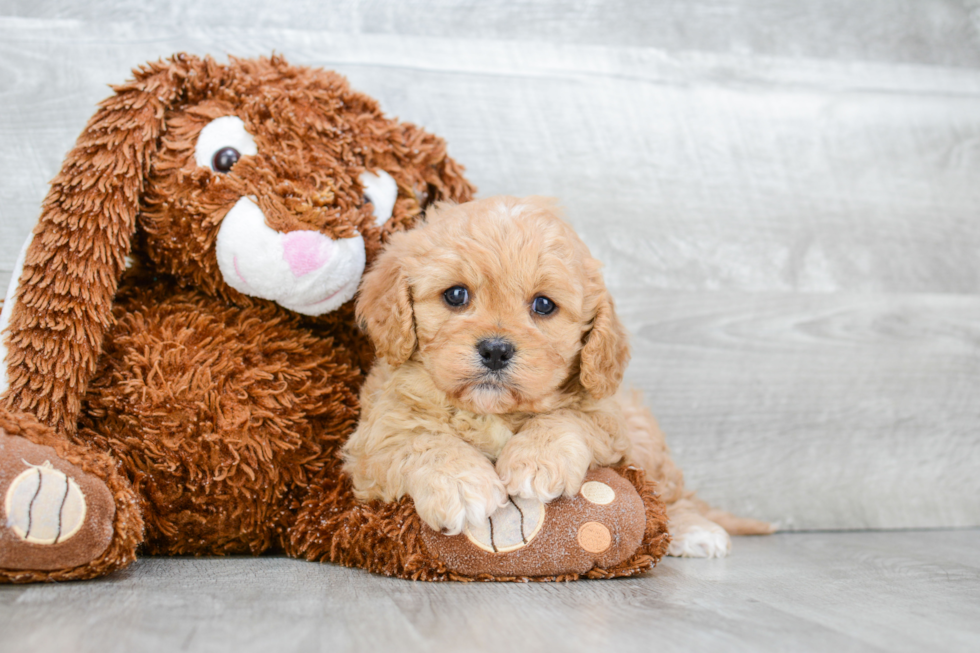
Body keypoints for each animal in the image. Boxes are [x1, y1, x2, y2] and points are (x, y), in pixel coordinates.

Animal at [344, 195, 772, 556]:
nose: (495, 350)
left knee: (668, 494)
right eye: (456, 295)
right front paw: (462, 486)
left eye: (544, 305)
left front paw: (535, 462)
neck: (493, 411)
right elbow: (422, 441)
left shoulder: (606, 420)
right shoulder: (373, 438)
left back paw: (695, 531)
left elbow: (566, 417)